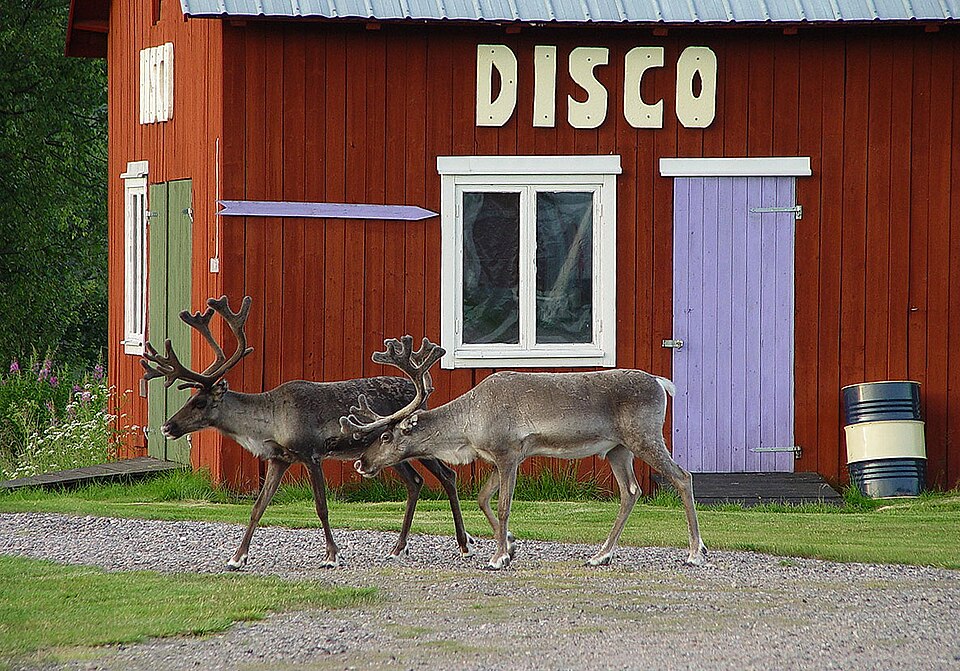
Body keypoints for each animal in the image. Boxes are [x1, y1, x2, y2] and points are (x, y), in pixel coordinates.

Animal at [141, 296, 475, 570]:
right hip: (388, 452)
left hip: (414, 444)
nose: (167, 426)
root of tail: (421, 393)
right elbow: (258, 507)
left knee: (447, 475)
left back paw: (463, 544)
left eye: (199, 402)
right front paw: (236, 558)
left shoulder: (310, 453)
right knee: (415, 482)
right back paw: (398, 547)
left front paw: (332, 555)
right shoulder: (279, 459)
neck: (270, 423)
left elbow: (321, 507)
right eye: (188, 398)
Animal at [342, 336, 707, 570]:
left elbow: (503, 505)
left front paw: (498, 558)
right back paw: (601, 555)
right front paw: (511, 544)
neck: (468, 428)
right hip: (617, 449)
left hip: (643, 436)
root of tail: (661, 382)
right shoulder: (496, 458)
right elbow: (482, 499)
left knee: (682, 476)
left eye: (386, 436)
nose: (361, 462)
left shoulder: (508, 453)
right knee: (631, 491)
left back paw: (695, 551)